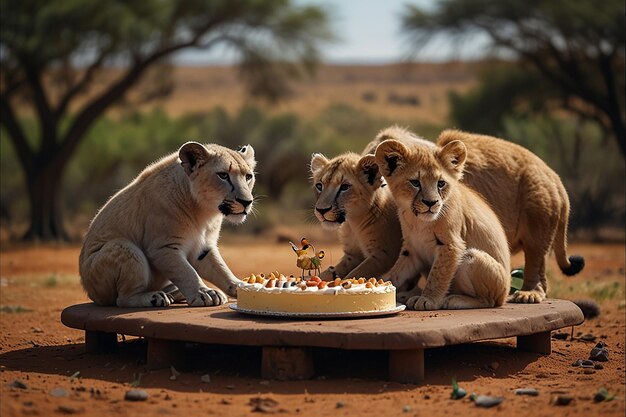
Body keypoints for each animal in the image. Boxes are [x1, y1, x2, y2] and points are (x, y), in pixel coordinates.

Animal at [79, 141, 255, 308]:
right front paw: (205, 293)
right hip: (122, 248)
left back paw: (173, 293)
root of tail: (90, 292)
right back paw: (156, 297)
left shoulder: (204, 247)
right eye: (223, 175)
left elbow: (221, 269)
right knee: (123, 299)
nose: (247, 202)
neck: (204, 212)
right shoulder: (163, 247)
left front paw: (242, 286)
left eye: (248, 177)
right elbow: (187, 272)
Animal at [372, 138, 510, 308]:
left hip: (473, 258)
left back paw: (452, 300)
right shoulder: (412, 249)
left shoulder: (452, 244)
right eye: (415, 183)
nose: (430, 203)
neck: (417, 221)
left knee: (488, 301)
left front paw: (427, 300)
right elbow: (396, 273)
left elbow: (437, 276)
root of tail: (505, 294)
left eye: (441, 183)